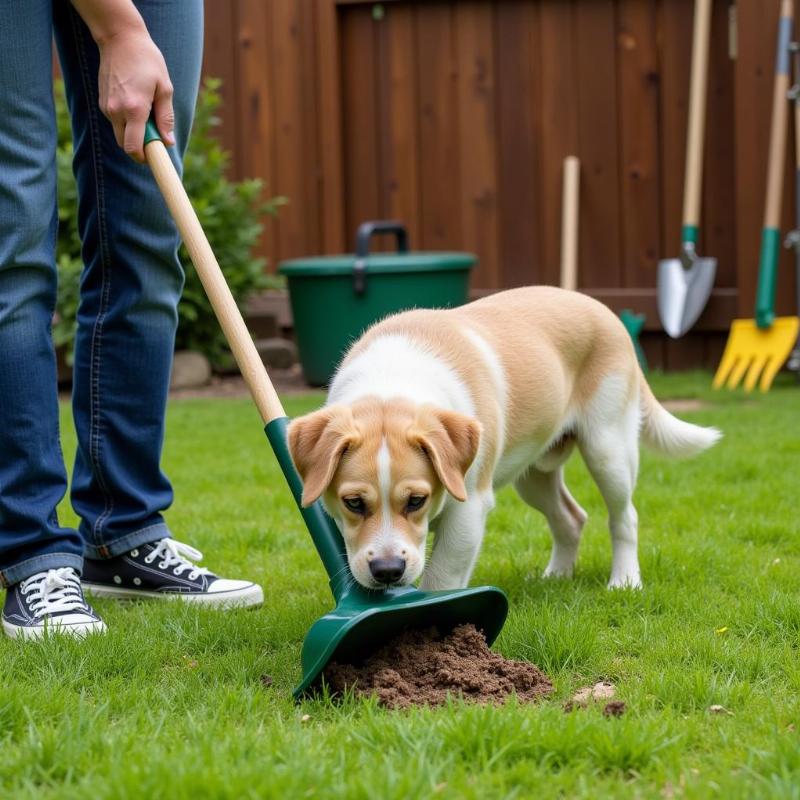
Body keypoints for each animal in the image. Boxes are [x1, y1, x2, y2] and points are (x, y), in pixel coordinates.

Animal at [286, 290, 720, 592]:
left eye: (416, 501)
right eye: (354, 503)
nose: (388, 571)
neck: (392, 382)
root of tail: (603, 310)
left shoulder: (469, 511)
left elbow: (441, 580)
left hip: (608, 448)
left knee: (623, 516)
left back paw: (625, 581)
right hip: (534, 475)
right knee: (571, 518)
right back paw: (556, 577)